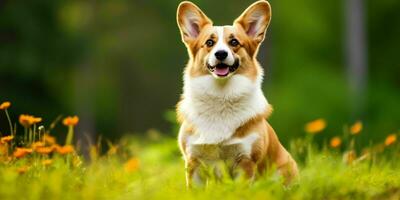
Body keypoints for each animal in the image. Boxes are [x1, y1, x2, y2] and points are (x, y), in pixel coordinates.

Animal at [175, 0, 296, 187]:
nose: (221, 54)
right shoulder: (194, 161)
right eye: (209, 43)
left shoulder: (245, 160)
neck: (220, 96)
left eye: (234, 42)